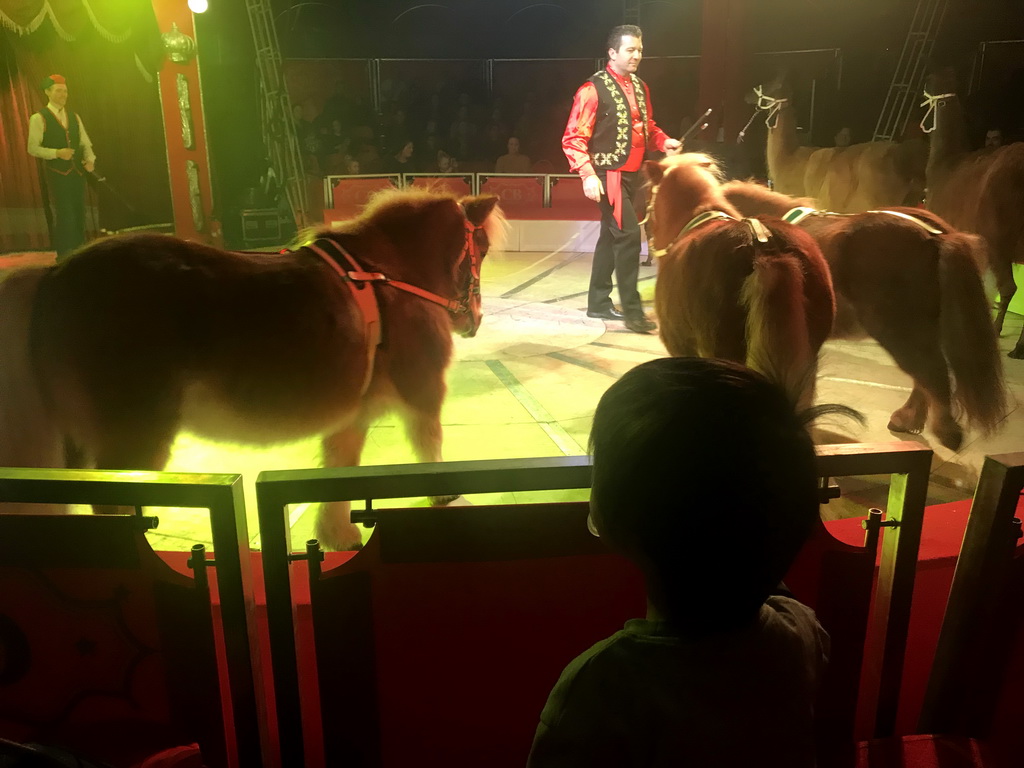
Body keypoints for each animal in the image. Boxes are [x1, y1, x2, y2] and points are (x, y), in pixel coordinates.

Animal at [0, 188, 503, 548]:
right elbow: (428, 444)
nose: (474, 321)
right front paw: (441, 495)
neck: (388, 274)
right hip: (133, 440)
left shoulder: (350, 415)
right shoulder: (423, 394)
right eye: (481, 247)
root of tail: (52, 275)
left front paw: (336, 535)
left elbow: (340, 464)